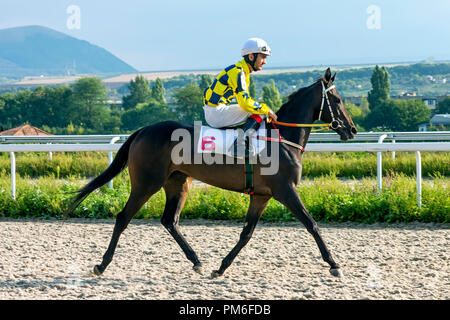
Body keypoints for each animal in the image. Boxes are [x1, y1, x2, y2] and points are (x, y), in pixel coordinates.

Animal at [65, 67, 356, 278]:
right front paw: (334, 264)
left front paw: (221, 267)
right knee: (123, 218)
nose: (351, 129)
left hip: (178, 182)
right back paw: (102, 264)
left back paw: (196, 261)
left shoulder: (261, 195)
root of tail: (143, 130)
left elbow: (246, 233)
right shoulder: (285, 190)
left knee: (169, 220)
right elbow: (311, 223)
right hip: (146, 183)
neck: (282, 139)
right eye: (337, 99)